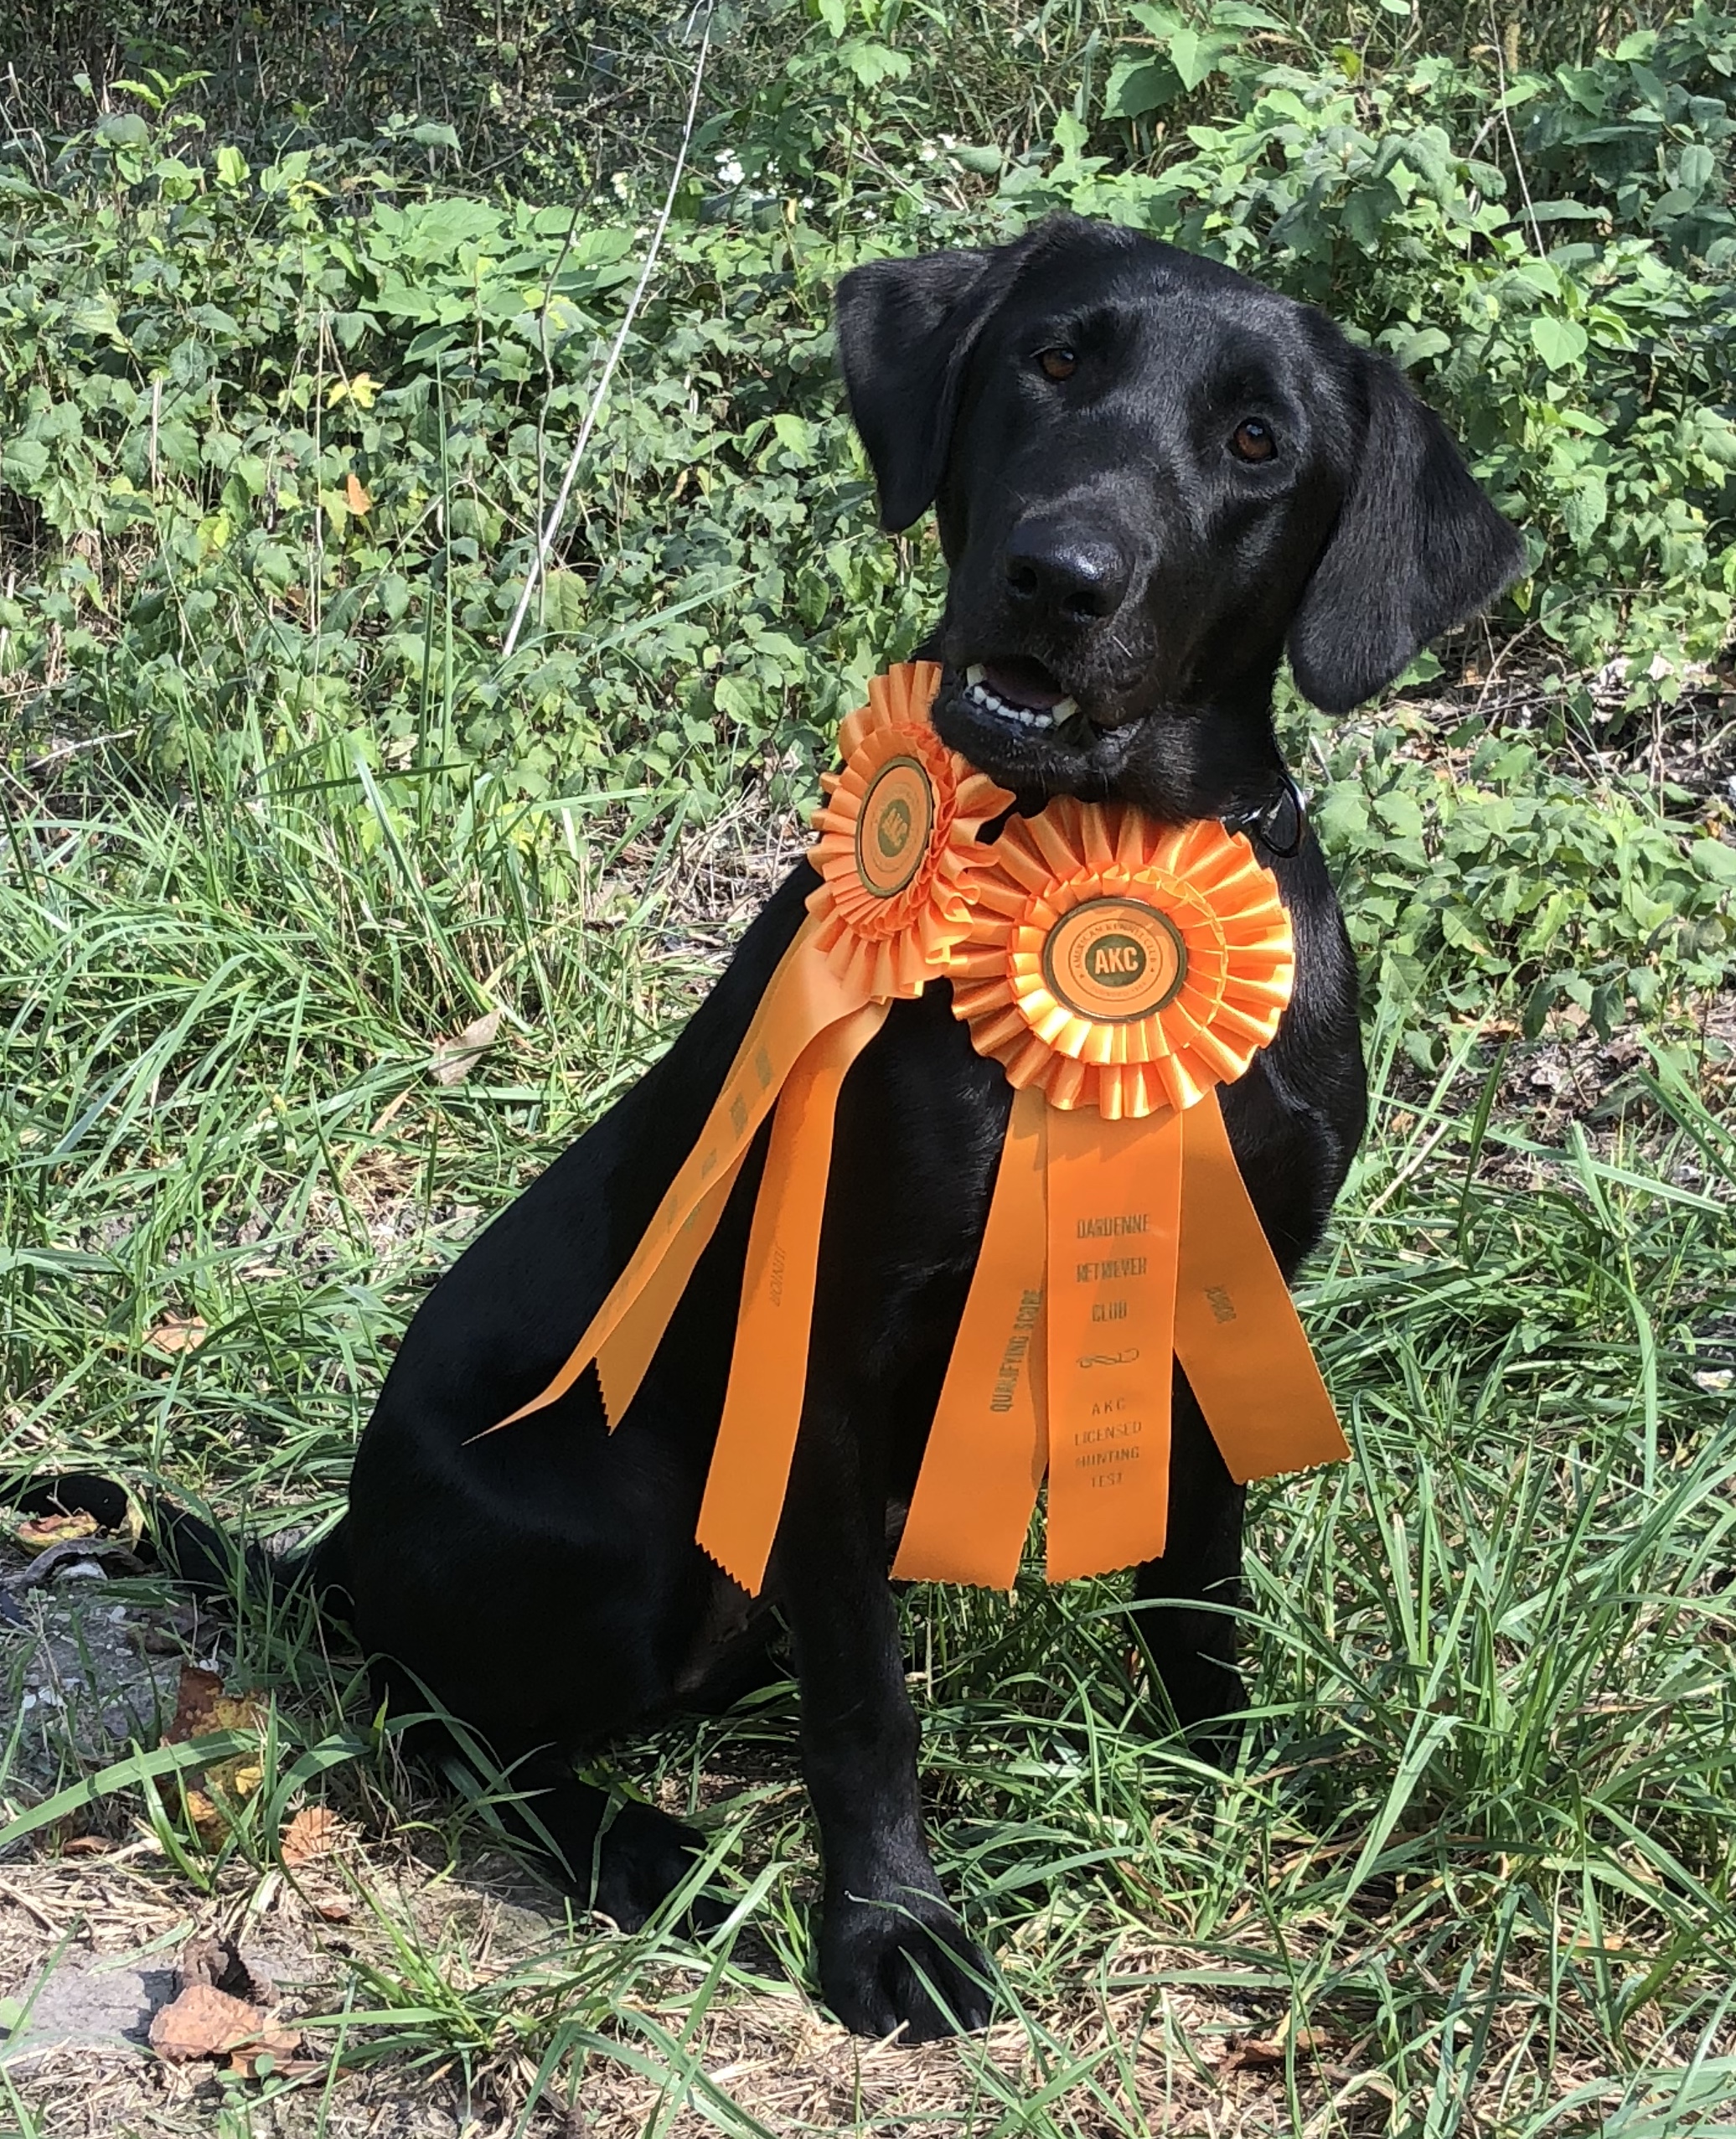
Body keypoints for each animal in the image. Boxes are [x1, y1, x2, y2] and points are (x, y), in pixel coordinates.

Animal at [23, 213, 1522, 2036]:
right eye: (1054, 360)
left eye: (1257, 442)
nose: (1060, 575)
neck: (1095, 855)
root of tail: (342, 1550)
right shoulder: (827, 1358)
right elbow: (867, 1701)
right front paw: (890, 1928)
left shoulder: (1217, 1309)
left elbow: (1195, 1580)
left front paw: (1234, 1780)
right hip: (631, 1538)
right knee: (442, 1717)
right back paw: (645, 1845)